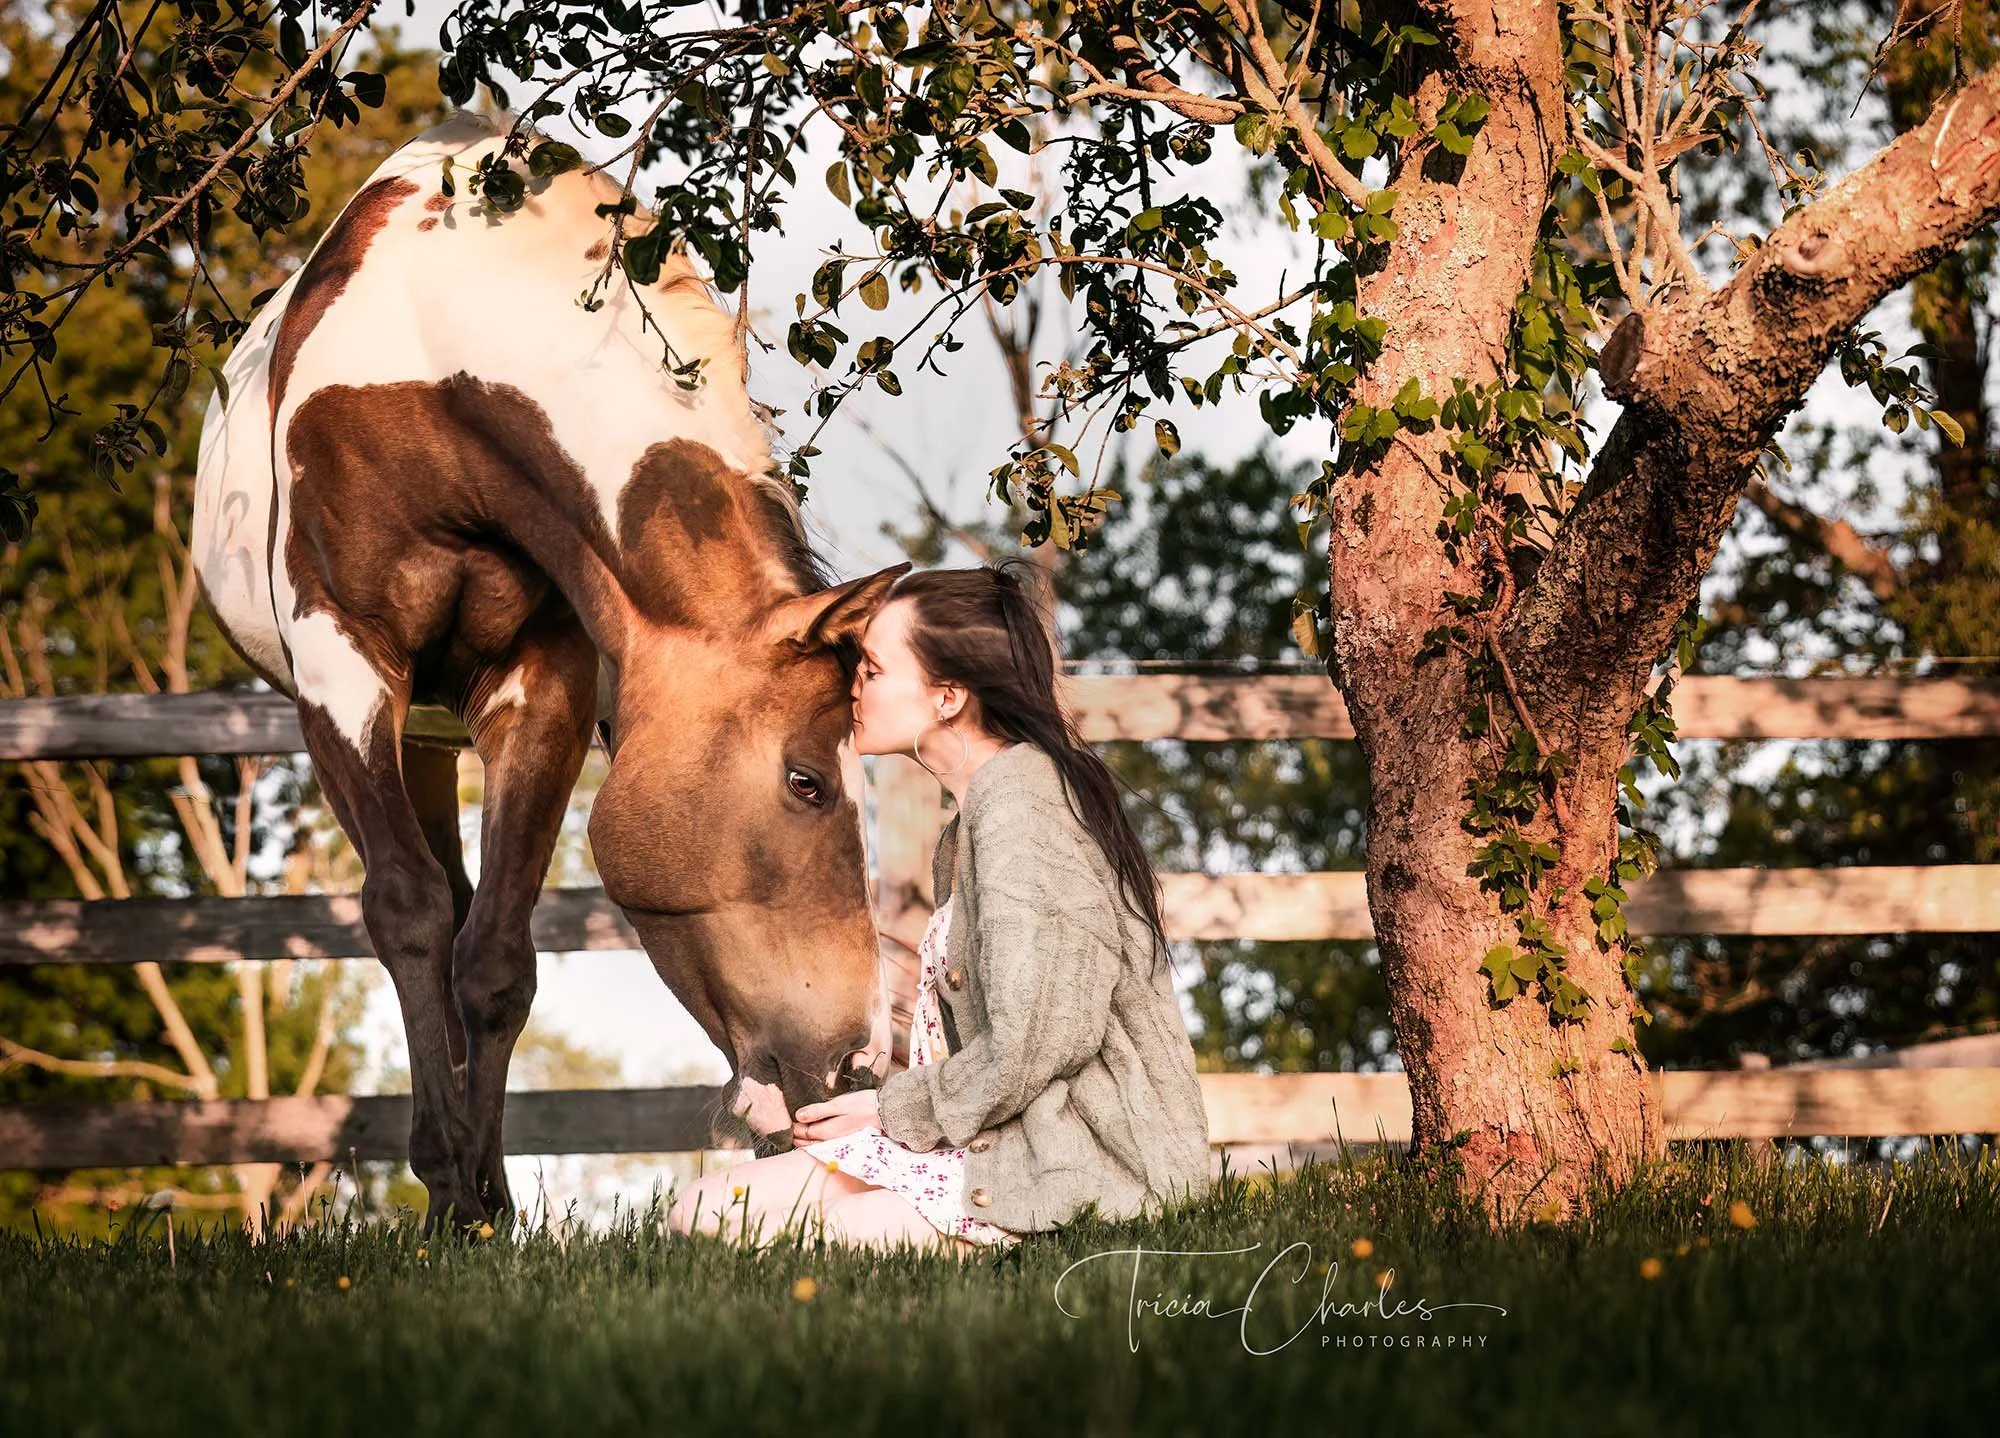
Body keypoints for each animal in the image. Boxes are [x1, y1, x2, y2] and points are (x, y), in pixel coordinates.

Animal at [192, 110, 906, 1228]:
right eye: (805, 783)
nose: (857, 1064)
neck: (434, 362)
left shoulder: (542, 684)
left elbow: (494, 955)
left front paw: (484, 1202)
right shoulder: (343, 666)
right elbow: (407, 912)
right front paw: (448, 1187)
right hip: (392, 720)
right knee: (425, 905)